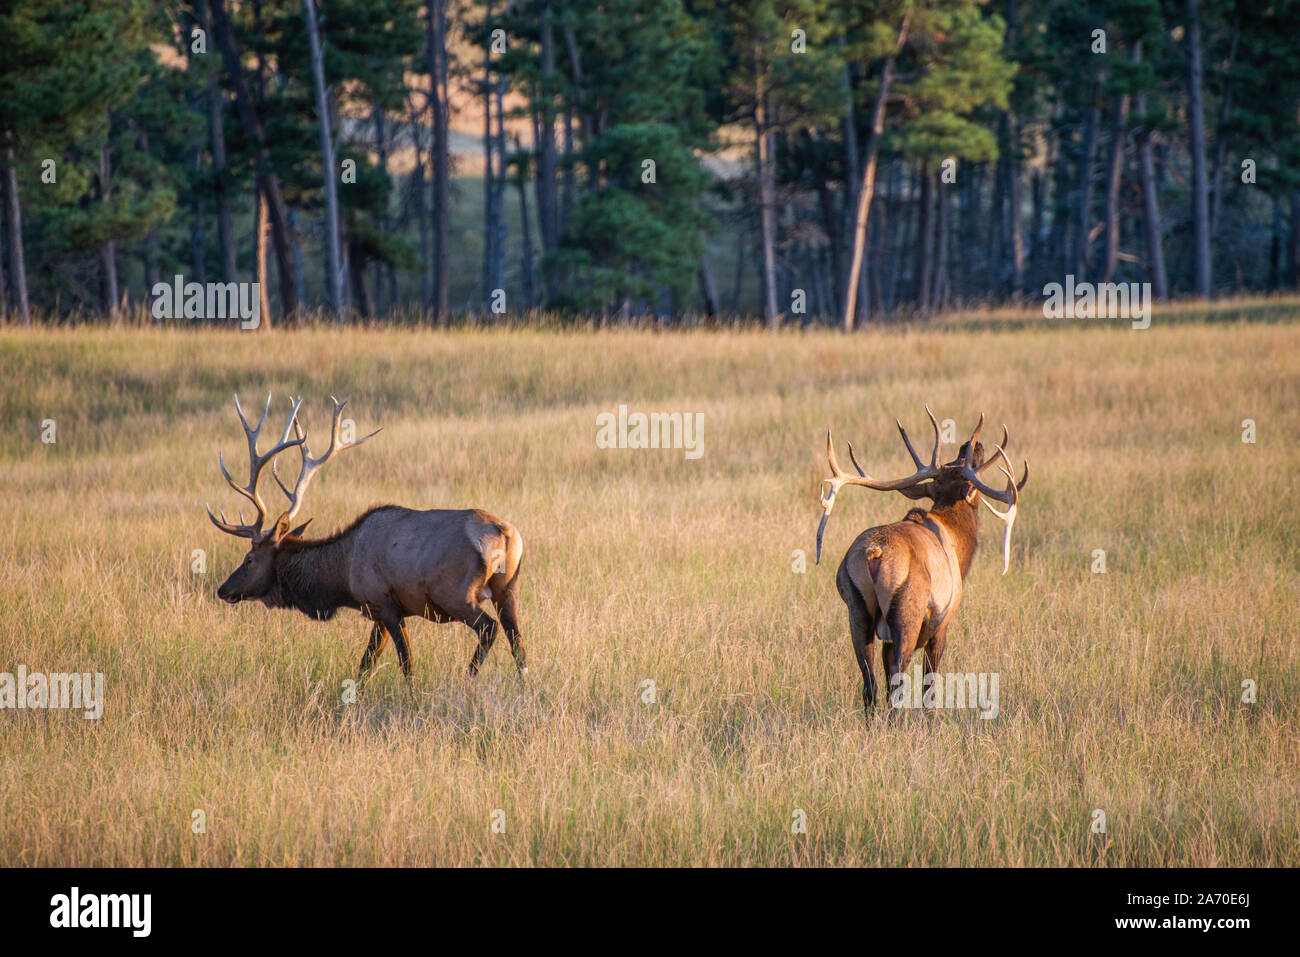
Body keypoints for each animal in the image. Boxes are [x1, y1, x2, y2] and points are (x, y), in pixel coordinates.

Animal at [205, 392, 525, 686]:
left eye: (249, 558)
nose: (223, 589)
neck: (342, 574)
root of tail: (506, 535)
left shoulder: (384, 602)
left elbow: (405, 663)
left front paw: (410, 694)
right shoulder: (381, 613)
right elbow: (366, 663)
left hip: (457, 594)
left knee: (489, 629)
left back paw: (468, 677)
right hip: (508, 589)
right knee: (517, 641)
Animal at [816, 410, 1029, 717]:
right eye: (965, 464)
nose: (972, 444)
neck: (957, 542)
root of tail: (874, 553)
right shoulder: (943, 622)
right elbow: (930, 684)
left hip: (857, 608)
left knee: (869, 680)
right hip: (908, 610)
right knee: (899, 674)